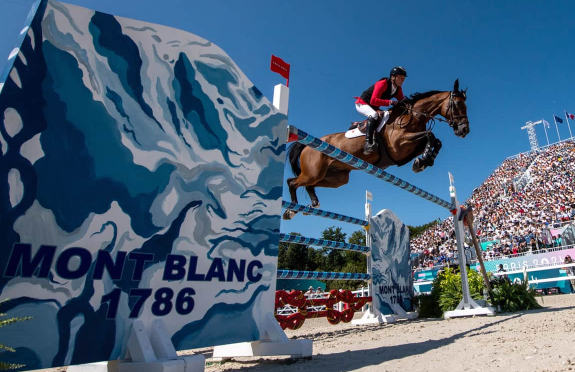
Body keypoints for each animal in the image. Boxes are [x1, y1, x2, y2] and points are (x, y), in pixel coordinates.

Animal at [282, 77, 468, 219]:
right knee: (292, 182)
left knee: (309, 184)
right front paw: (423, 161)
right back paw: (291, 210)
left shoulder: (405, 152)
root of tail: (306, 146)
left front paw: (423, 161)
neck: (412, 116)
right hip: (313, 171)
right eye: (457, 105)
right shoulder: (398, 146)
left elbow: (435, 141)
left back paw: (313, 205)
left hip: (335, 177)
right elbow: (429, 135)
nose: (464, 130)